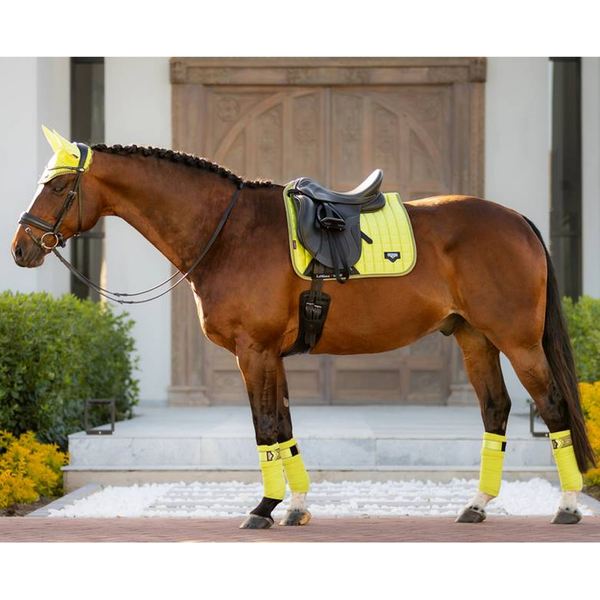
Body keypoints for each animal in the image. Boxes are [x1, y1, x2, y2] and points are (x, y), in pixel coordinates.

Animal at [11, 131, 597, 529]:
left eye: (58, 185)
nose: (20, 248)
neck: (231, 233)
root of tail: (518, 221)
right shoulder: (272, 355)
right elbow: (285, 428)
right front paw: (294, 507)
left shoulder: (253, 352)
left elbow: (266, 426)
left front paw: (263, 508)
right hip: (475, 338)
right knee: (495, 409)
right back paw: (476, 505)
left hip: (519, 342)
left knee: (552, 408)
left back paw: (567, 505)